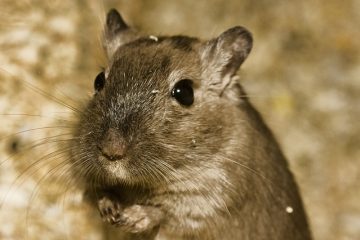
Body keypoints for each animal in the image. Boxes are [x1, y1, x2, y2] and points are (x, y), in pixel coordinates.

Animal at [69, 8, 310, 239]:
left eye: (185, 93)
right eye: (98, 80)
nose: (111, 151)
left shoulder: (213, 199)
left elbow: (166, 213)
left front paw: (131, 218)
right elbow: (98, 193)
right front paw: (110, 210)